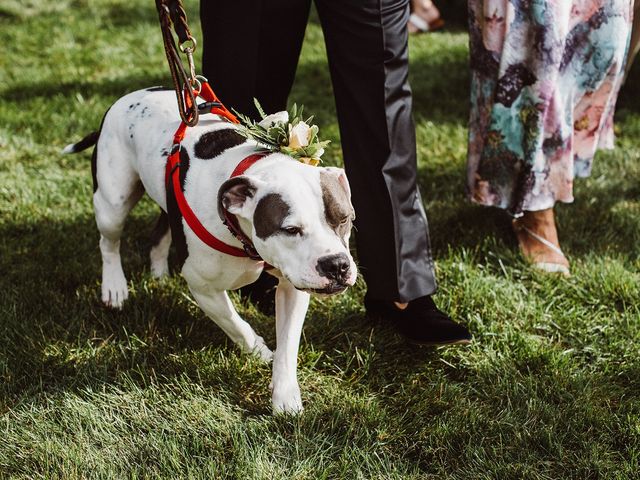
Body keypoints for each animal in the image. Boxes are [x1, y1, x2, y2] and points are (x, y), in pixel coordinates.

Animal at [65, 89, 358, 412]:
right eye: (291, 229)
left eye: (344, 219)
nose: (337, 265)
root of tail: (128, 97)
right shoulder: (203, 288)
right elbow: (235, 324)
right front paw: (259, 351)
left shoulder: (292, 287)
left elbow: (287, 345)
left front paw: (285, 396)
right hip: (112, 203)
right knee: (109, 243)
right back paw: (115, 287)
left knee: (159, 233)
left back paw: (158, 273)